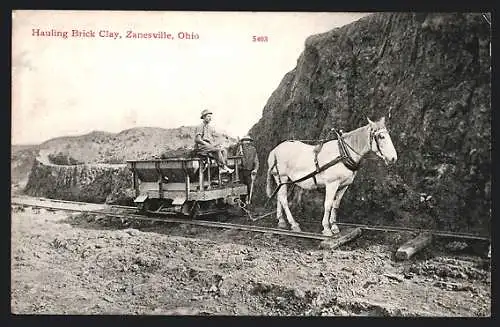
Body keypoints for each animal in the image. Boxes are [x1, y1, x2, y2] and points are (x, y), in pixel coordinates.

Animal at [266, 116, 398, 237]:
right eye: (381, 137)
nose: (393, 158)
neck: (343, 153)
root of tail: (275, 150)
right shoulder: (332, 184)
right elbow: (328, 204)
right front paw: (326, 228)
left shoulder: (344, 185)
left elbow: (336, 204)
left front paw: (334, 226)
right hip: (282, 177)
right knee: (283, 198)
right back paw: (294, 224)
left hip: (283, 180)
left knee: (279, 196)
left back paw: (281, 221)